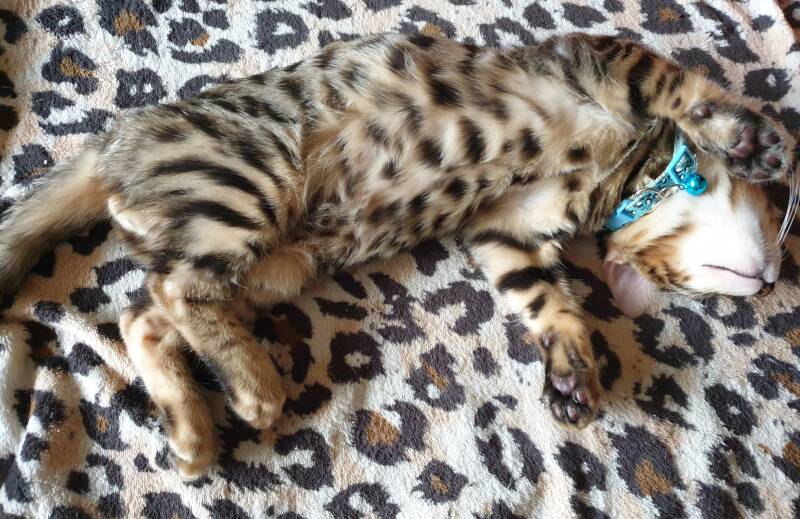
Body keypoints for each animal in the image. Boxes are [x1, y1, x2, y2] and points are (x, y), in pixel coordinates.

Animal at [0, 32, 793, 479]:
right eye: (689, 286)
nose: (769, 282)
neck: (619, 176)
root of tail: (113, 143)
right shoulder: (595, 57)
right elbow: (682, 85)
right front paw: (751, 135)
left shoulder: (506, 231)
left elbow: (546, 298)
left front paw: (571, 368)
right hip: (249, 182)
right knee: (175, 291)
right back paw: (253, 385)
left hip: (271, 261)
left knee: (144, 310)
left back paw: (192, 428)